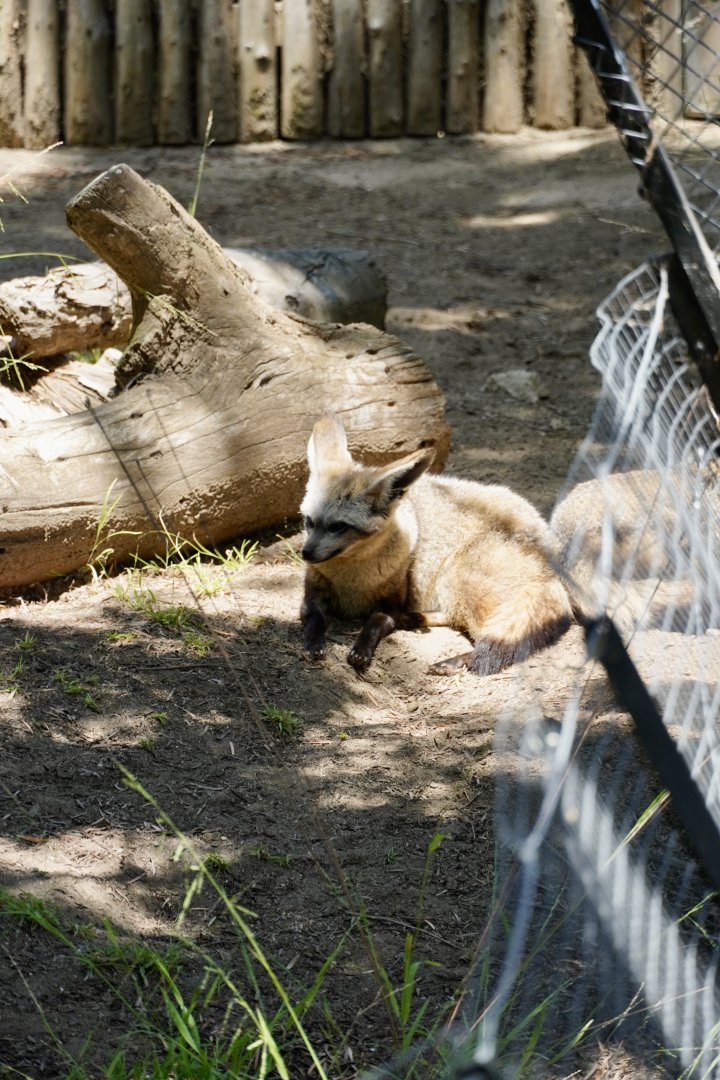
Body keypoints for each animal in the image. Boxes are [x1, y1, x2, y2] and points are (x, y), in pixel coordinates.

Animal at [299, 411, 574, 675]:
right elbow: (313, 618)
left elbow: (373, 625)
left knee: (481, 636)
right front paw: (314, 644)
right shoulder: (312, 595)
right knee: (455, 617)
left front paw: (361, 650)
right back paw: (415, 619)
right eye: (309, 521)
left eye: (338, 526)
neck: (353, 581)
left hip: (457, 575)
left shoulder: (391, 606)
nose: (306, 554)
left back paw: (452, 660)